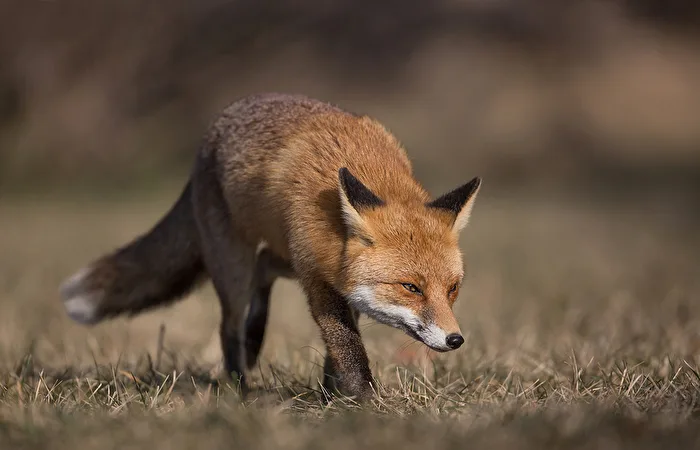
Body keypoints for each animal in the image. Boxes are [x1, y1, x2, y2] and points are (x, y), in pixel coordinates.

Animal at [59, 93, 482, 402]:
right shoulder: (318, 279)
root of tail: (208, 139)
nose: (455, 339)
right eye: (411, 287)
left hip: (281, 254)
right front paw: (365, 400)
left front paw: (333, 393)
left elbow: (338, 345)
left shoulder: (337, 278)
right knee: (228, 324)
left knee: (264, 271)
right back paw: (240, 386)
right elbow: (347, 344)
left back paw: (255, 338)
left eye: (452, 289)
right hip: (235, 265)